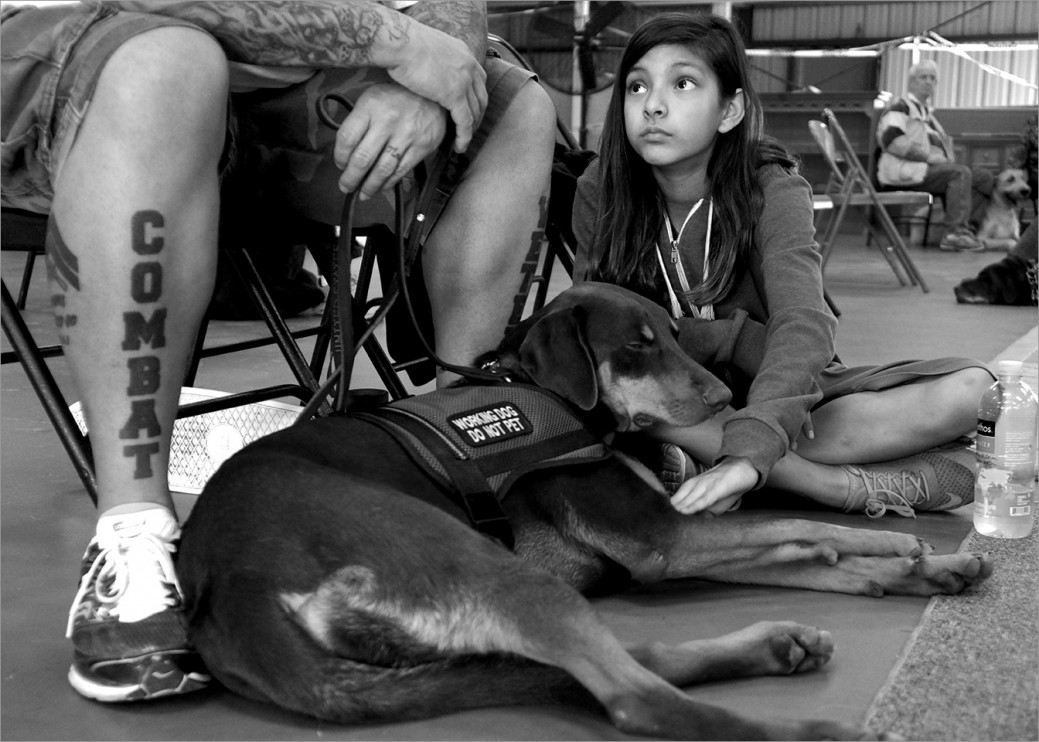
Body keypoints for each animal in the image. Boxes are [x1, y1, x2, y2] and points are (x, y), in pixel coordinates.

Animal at [176, 280, 989, 735]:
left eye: (675, 334)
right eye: (635, 346)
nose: (725, 397)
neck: (557, 400)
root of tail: (229, 583)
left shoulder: (656, 548)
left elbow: (800, 553)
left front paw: (919, 570)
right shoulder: (662, 540)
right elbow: (796, 526)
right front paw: (894, 550)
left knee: (620, 667)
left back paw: (773, 646)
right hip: (474, 560)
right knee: (641, 702)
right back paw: (823, 730)